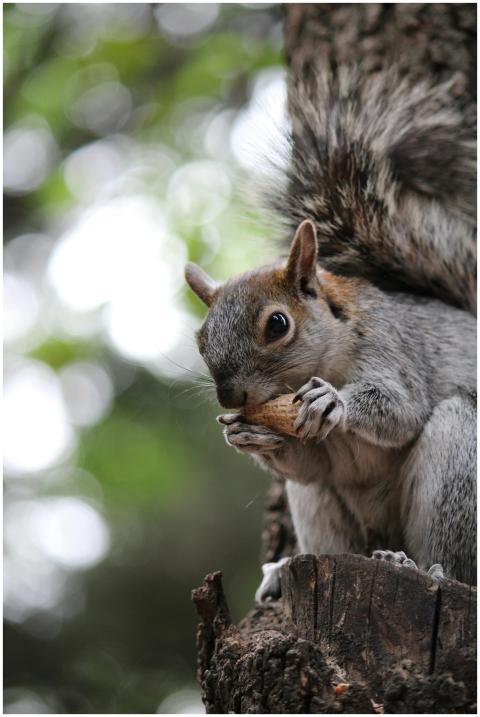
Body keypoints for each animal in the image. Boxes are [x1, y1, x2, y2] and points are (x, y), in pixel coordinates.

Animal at [184, 62, 476, 600]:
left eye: (278, 324)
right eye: (200, 339)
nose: (230, 398)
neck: (326, 359)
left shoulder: (393, 349)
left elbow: (400, 409)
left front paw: (334, 402)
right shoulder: (311, 461)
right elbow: (309, 465)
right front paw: (245, 435)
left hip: (460, 456)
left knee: (457, 559)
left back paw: (423, 567)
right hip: (322, 511)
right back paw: (285, 569)